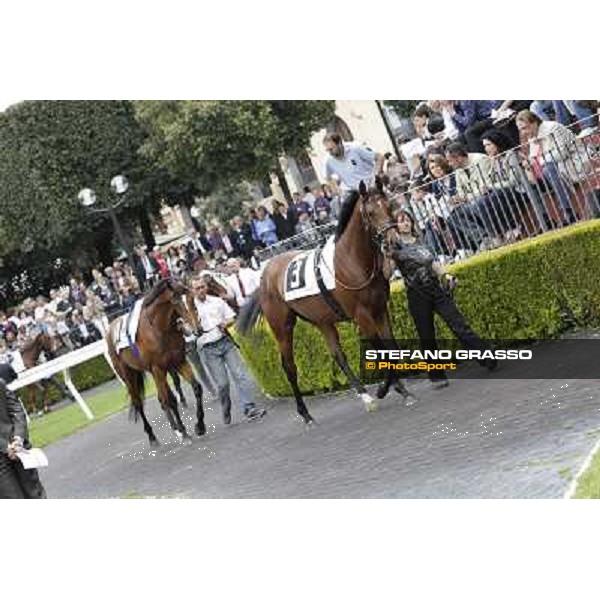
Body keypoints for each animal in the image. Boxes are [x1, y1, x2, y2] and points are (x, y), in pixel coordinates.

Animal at [108, 278, 209, 446]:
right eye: (176, 301)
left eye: (191, 299)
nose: (197, 329)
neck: (160, 329)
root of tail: (110, 327)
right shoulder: (158, 368)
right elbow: (171, 400)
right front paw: (184, 432)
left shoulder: (178, 362)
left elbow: (196, 388)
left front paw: (199, 426)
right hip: (128, 375)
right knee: (138, 402)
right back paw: (152, 436)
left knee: (161, 398)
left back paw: (174, 428)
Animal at [237, 180, 414, 424]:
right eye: (370, 212)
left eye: (389, 206)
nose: (394, 242)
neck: (352, 260)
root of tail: (265, 275)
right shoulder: (362, 316)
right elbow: (379, 351)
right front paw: (384, 389)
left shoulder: (379, 310)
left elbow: (391, 348)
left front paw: (402, 391)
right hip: (282, 327)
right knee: (289, 367)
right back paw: (305, 413)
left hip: (322, 320)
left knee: (337, 354)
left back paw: (364, 396)